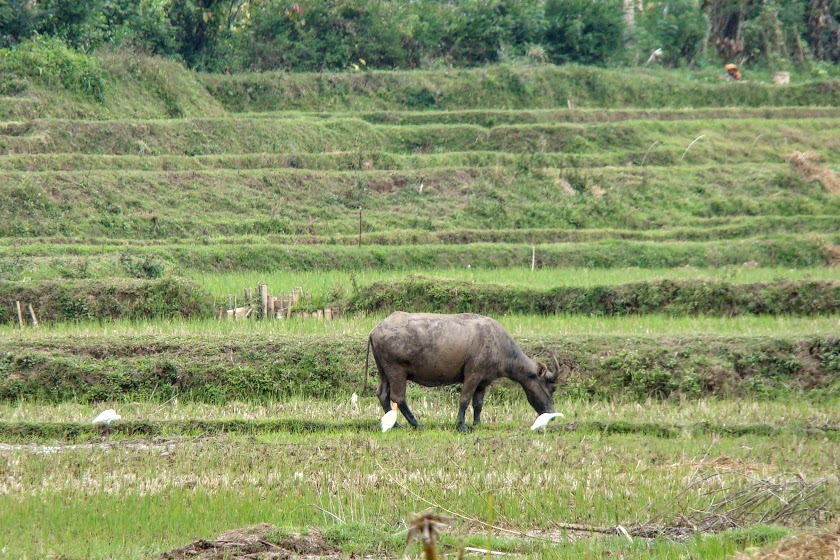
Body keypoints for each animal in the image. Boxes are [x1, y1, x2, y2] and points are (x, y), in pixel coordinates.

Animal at [360, 312, 556, 430]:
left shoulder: (483, 382)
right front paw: (462, 426)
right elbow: (464, 399)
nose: (552, 415)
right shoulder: (473, 375)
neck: (500, 346)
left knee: (382, 394)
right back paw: (416, 424)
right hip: (397, 371)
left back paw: (395, 424)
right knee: (398, 397)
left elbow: (478, 404)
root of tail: (375, 330)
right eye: (552, 388)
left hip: (384, 371)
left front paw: (477, 424)